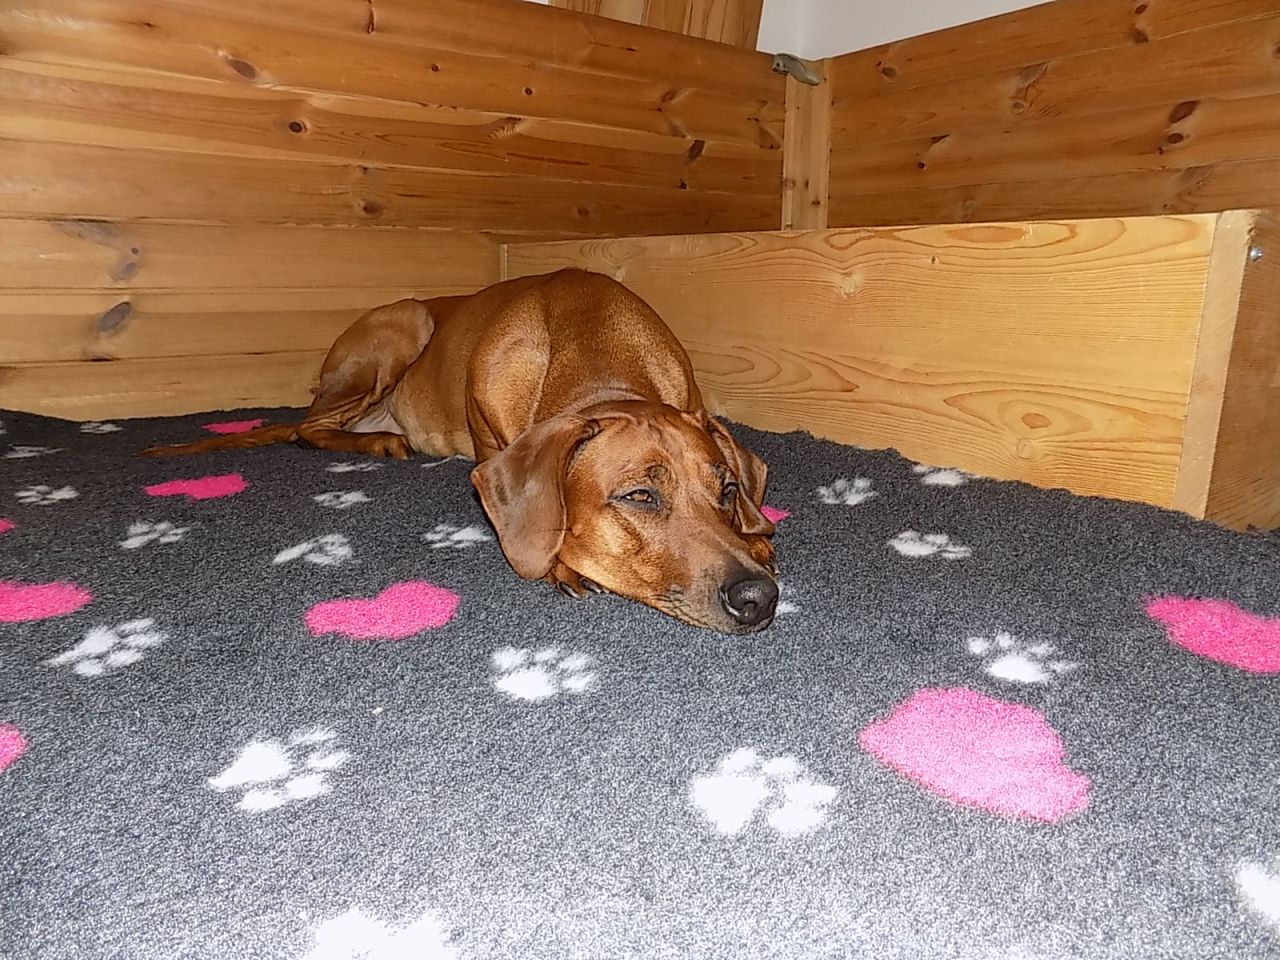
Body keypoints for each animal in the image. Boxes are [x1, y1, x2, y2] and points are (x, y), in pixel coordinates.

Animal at [145, 269, 778, 633]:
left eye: (726, 489)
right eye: (640, 496)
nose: (760, 599)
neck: (598, 351)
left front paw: (757, 537)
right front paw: (560, 564)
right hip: (399, 328)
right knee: (307, 428)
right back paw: (378, 439)